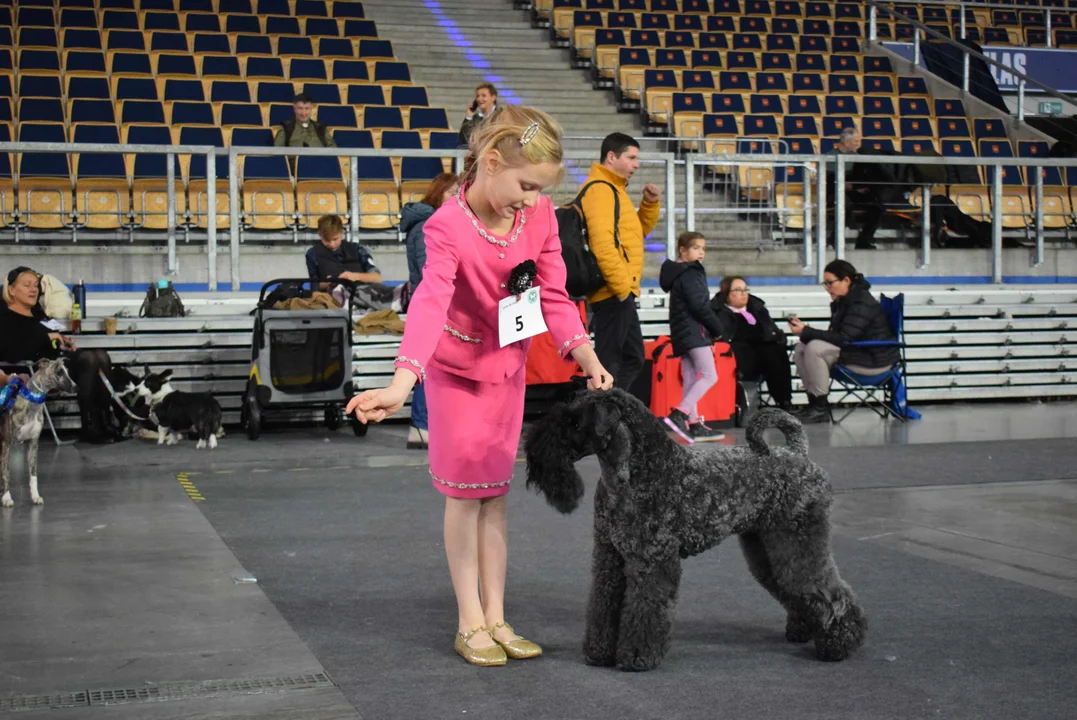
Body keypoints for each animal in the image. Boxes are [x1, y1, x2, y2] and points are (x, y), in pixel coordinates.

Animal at [525, 389, 870, 671]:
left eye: (574, 423)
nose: (532, 452)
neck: (633, 473)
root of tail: (798, 454)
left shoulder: (652, 560)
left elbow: (645, 608)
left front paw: (637, 657)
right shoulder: (610, 557)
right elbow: (603, 604)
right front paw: (599, 652)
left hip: (798, 542)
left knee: (827, 590)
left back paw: (840, 643)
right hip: (766, 549)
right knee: (793, 587)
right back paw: (805, 631)